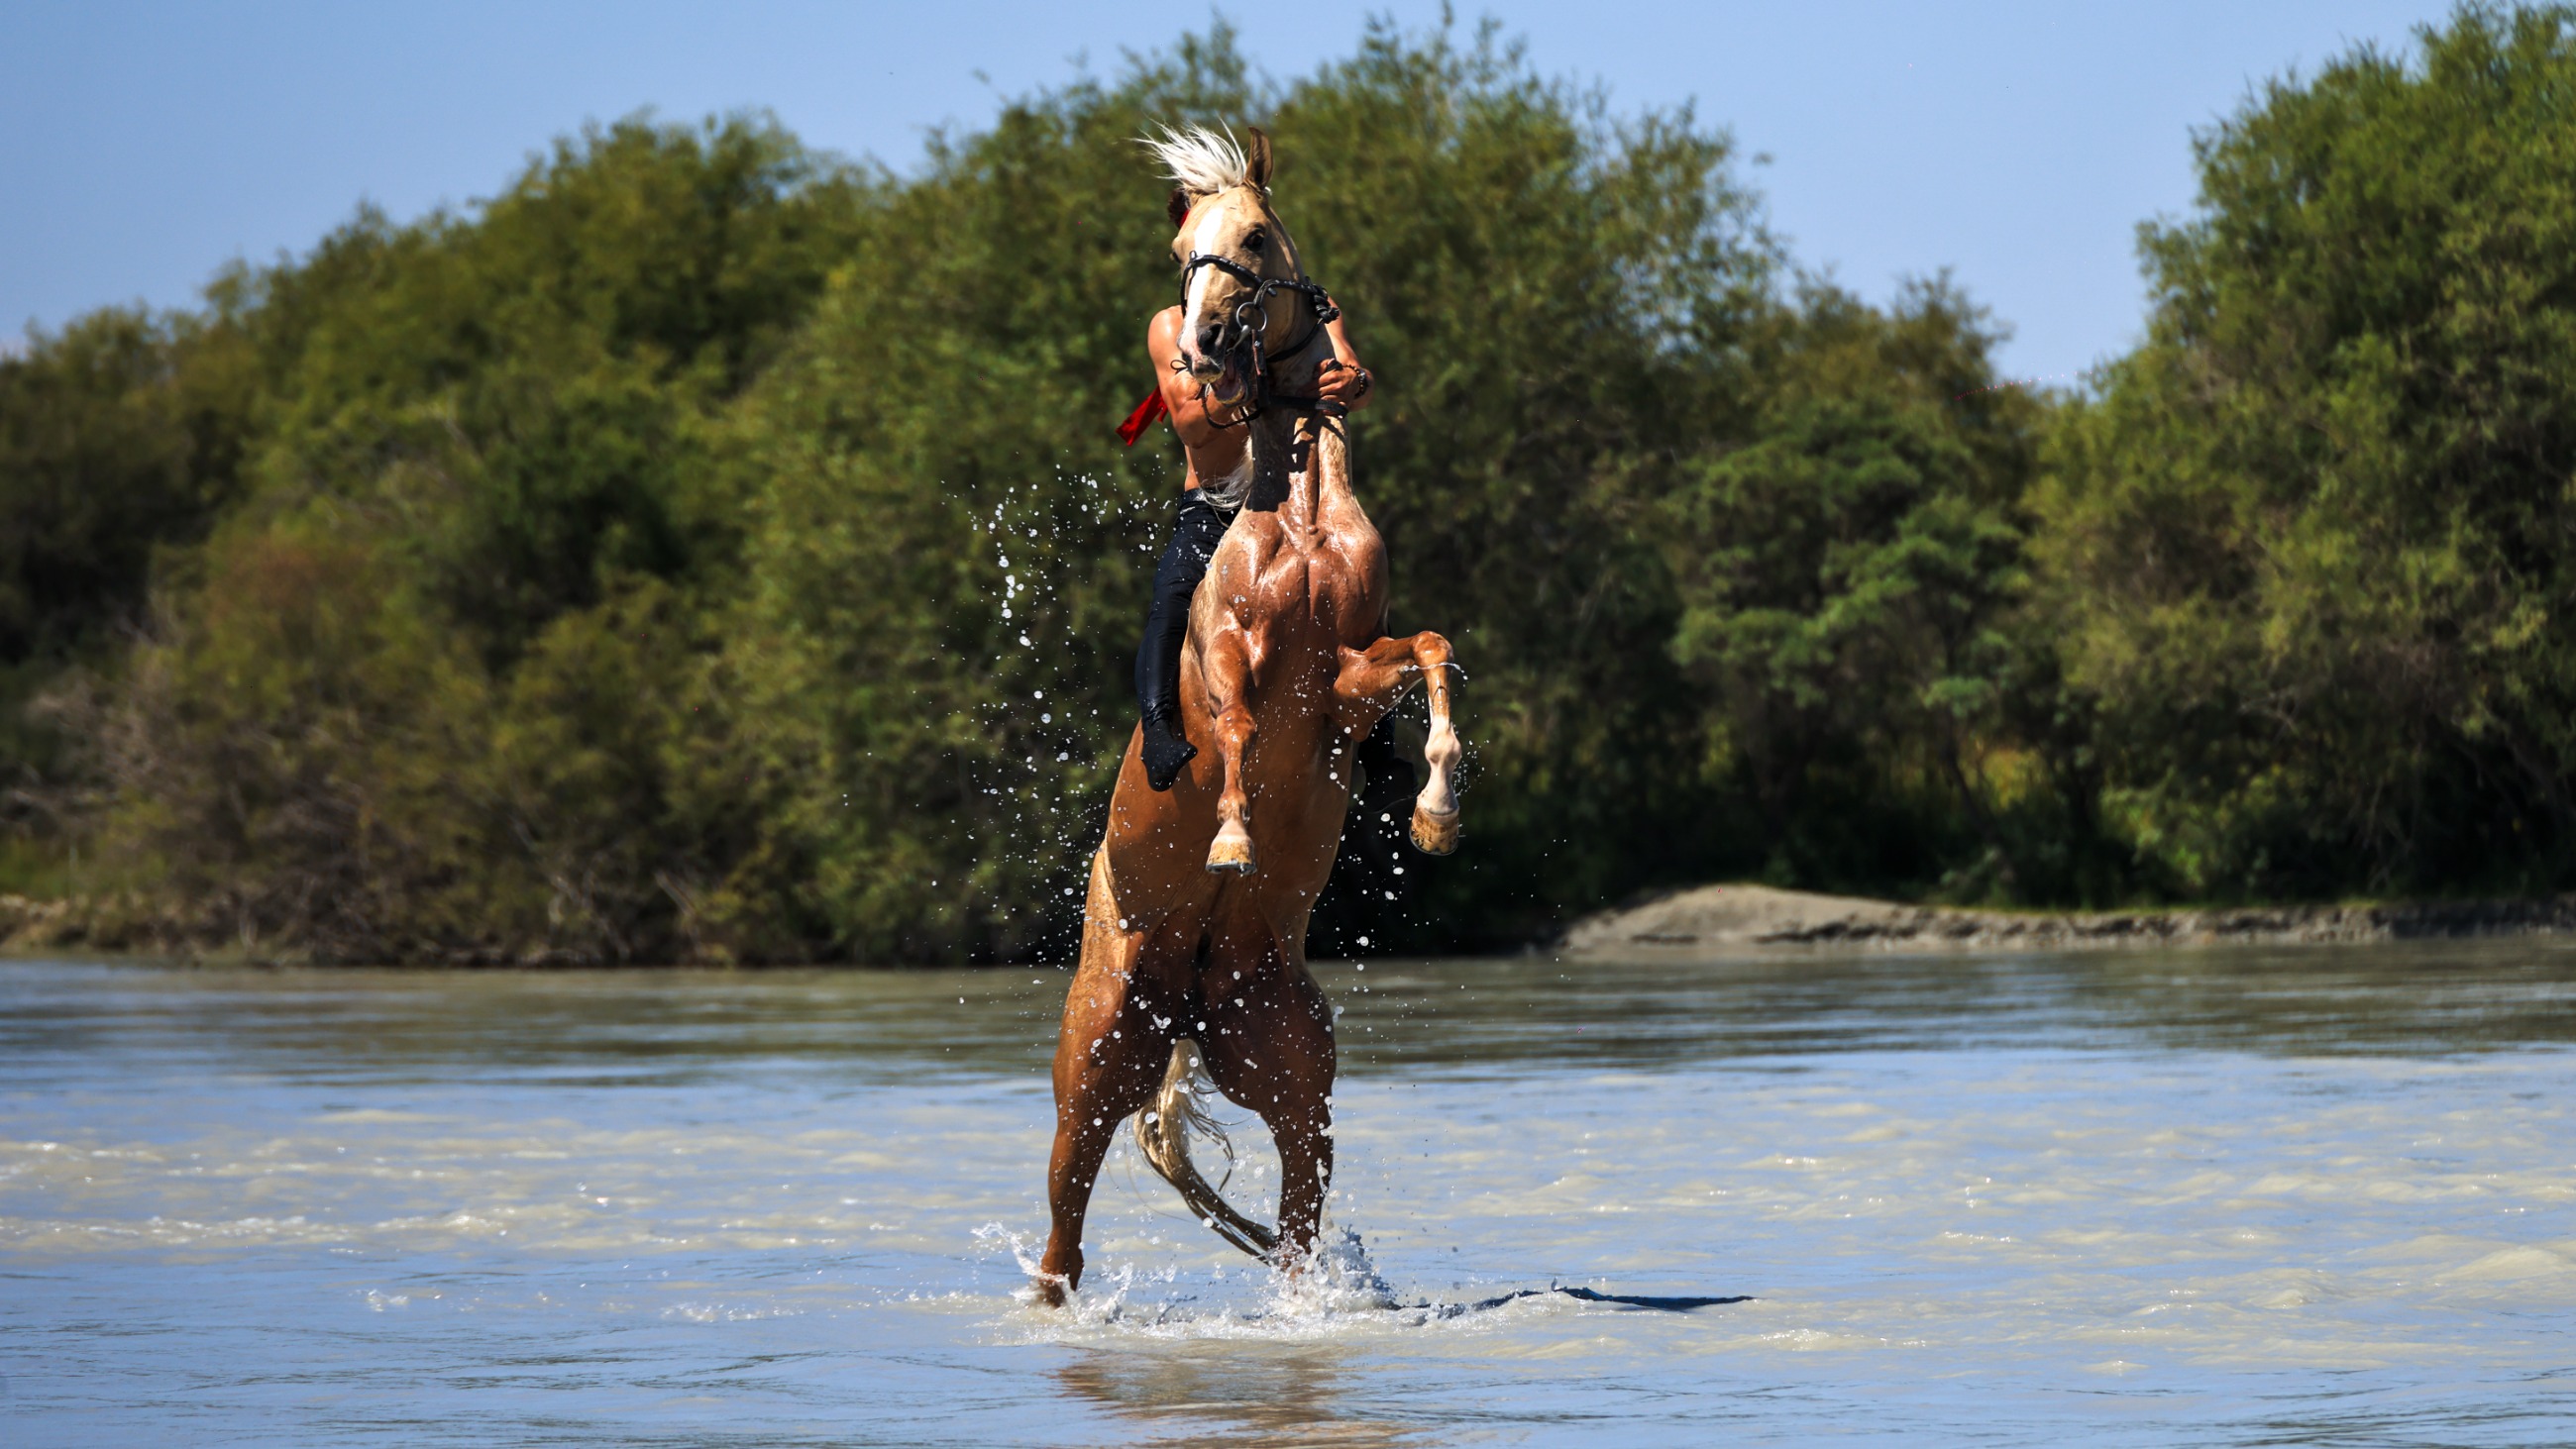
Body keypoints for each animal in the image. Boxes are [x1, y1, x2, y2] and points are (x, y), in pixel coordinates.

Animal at [1034, 126, 1464, 1305]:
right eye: (1183, 252)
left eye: (1257, 238)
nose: (1206, 339)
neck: (1298, 506)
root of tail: (1183, 1001)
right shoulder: (1234, 654)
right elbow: (1225, 728)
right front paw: (1229, 836)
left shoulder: (1343, 685)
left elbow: (1431, 650)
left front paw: (1436, 809)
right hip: (1094, 1061)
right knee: (1062, 1233)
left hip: (1293, 1068)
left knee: (1297, 1209)